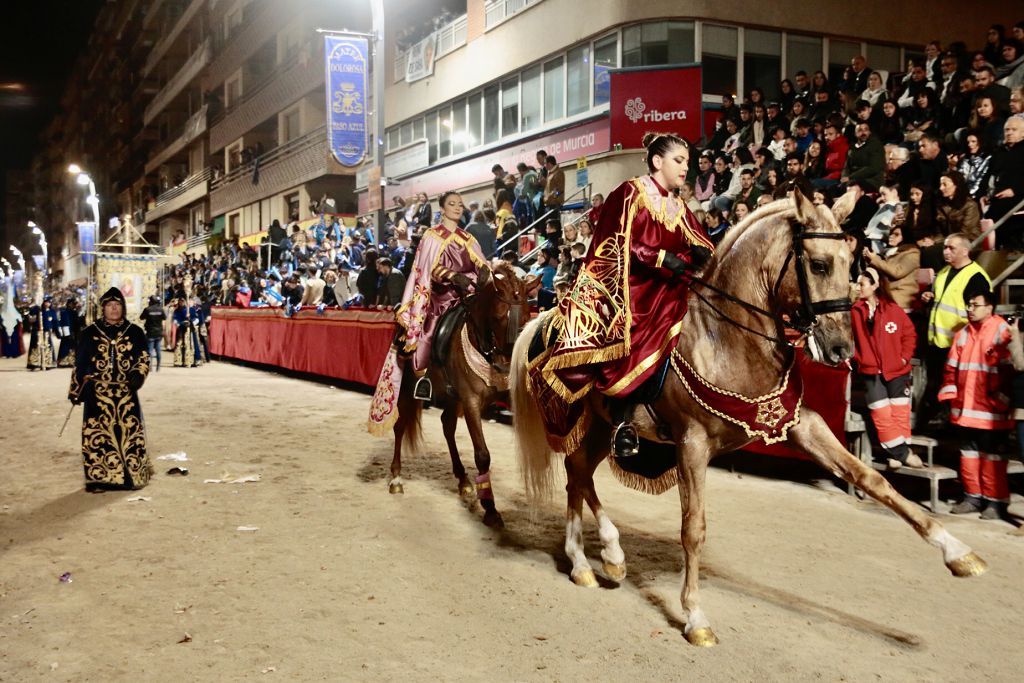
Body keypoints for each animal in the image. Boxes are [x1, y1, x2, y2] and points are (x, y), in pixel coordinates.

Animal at [389, 264, 532, 528]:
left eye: (527, 319)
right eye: (498, 317)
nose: (506, 367)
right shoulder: (471, 402)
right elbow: (482, 454)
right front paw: (490, 508)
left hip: (452, 396)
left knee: (447, 424)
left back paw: (463, 480)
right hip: (407, 387)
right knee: (400, 426)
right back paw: (396, 478)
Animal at [509, 191, 983, 647]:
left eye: (852, 265)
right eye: (819, 264)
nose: (841, 350)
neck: (729, 340)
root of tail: (544, 319)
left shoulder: (801, 424)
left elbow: (871, 478)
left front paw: (956, 550)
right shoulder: (692, 444)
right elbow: (694, 528)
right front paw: (695, 616)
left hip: (602, 427)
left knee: (578, 475)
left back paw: (591, 561)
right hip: (591, 423)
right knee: (578, 473)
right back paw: (603, 555)